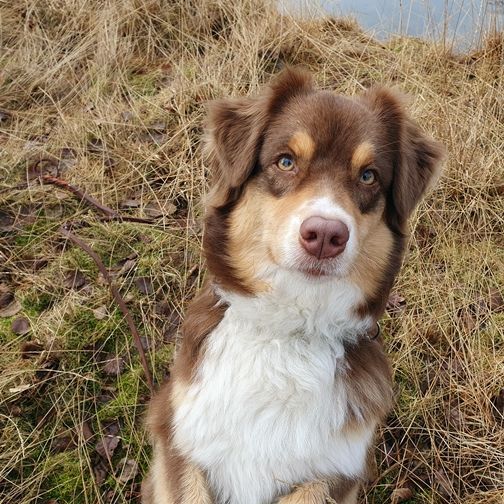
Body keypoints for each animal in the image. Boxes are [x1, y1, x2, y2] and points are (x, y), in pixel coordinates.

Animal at [141, 68, 444, 504]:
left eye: (368, 176)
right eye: (286, 161)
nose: (325, 235)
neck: (287, 333)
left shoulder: (335, 472)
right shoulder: (182, 441)